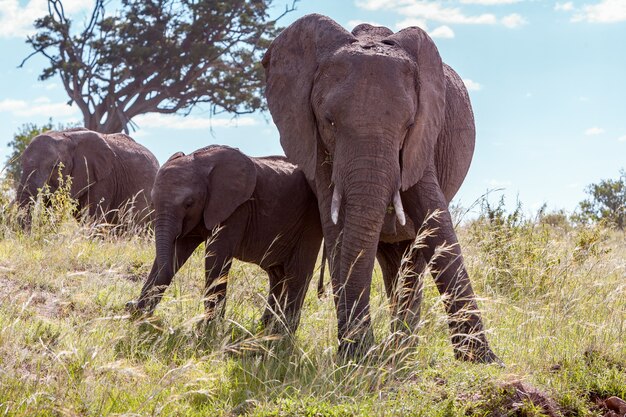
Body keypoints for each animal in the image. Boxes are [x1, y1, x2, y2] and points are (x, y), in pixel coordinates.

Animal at [127, 145, 322, 334]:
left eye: (189, 203)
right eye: (153, 203)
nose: (130, 305)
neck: (200, 162)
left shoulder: (236, 209)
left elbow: (216, 259)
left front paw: (208, 329)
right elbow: (177, 252)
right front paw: (139, 315)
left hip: (311, 219)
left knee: (297, 275)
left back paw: (283, 334)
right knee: (277, 275)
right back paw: (265, 327)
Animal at [262, 14, 498, 362]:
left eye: (408, 124)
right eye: (329, 121)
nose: (359, 348)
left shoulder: (423, 140)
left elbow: (436, 221)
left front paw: (482, 361)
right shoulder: (316, 147)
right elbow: (336, 230)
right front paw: (355, 356)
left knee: (411, 261)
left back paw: (403, 352)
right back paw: (397, 351)